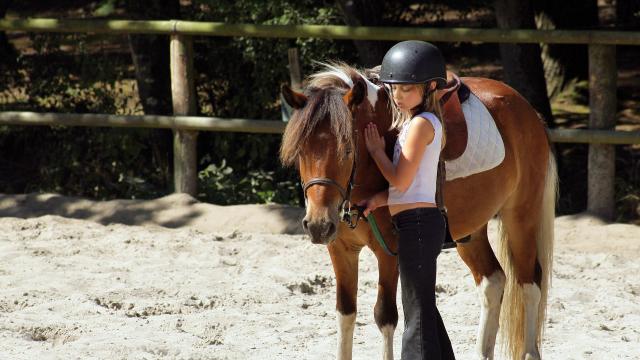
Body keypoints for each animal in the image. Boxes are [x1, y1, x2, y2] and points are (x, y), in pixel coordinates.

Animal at [278, 62, 556, 360]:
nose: (318, 225)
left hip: (521, 218)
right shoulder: (340, 250)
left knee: (530, 283)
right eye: (301, 151)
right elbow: (345, 313)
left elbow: (385, 316)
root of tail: (529, 112)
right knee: (493, 282)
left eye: (347, 149)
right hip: (470, 231)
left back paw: (530, 351)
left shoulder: (389, 253)